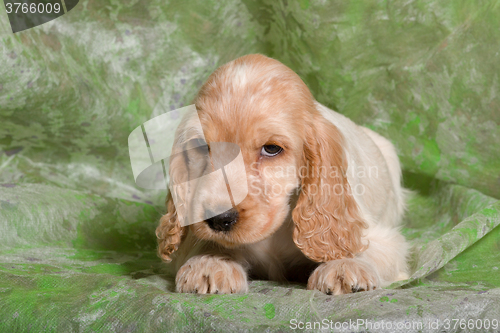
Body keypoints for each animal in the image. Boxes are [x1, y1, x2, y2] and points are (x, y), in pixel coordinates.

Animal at [156, 53, 410, 294]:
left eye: (271, 149)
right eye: (200, 146)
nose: (219, 219)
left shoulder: (382, 237)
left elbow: (357, 244)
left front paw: (344, 265)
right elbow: (203, 242)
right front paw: (209, 263)